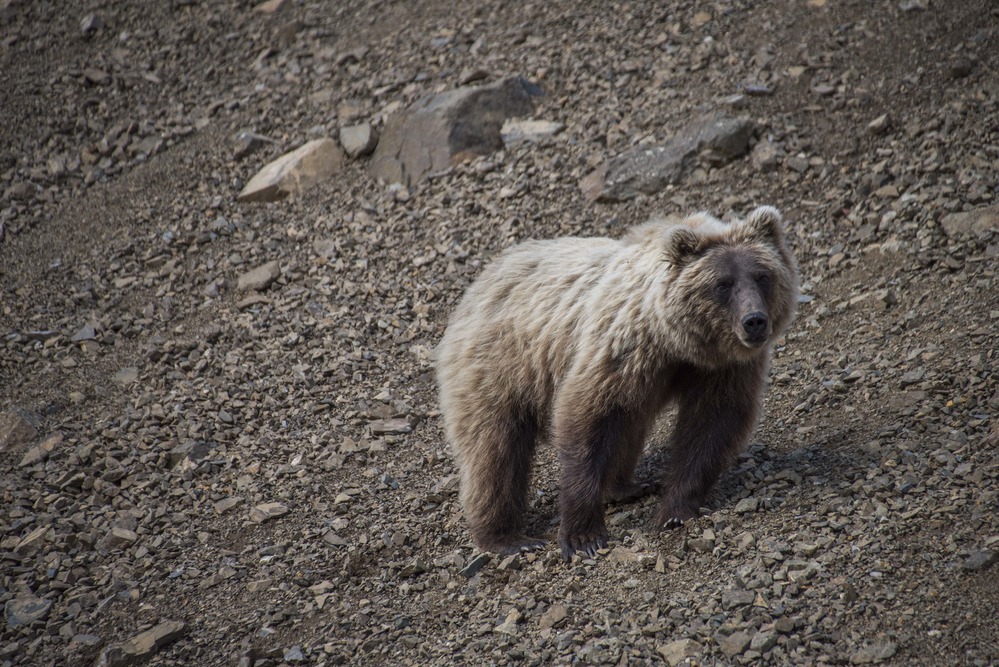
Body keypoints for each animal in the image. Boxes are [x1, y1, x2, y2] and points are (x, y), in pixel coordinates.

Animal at [435, 206, 799, 560]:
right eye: (723, 283)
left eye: (763, 276)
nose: (754, 321)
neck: (678, 341)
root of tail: (481, 280)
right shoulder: (622, 347)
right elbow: (588, 418)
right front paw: (584, 535)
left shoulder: (723, 368)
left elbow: (712, 424)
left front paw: (675, 511)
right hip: (499, 365)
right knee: (494, 449)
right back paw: (507, 537)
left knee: (629, 425)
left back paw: (628, 486)